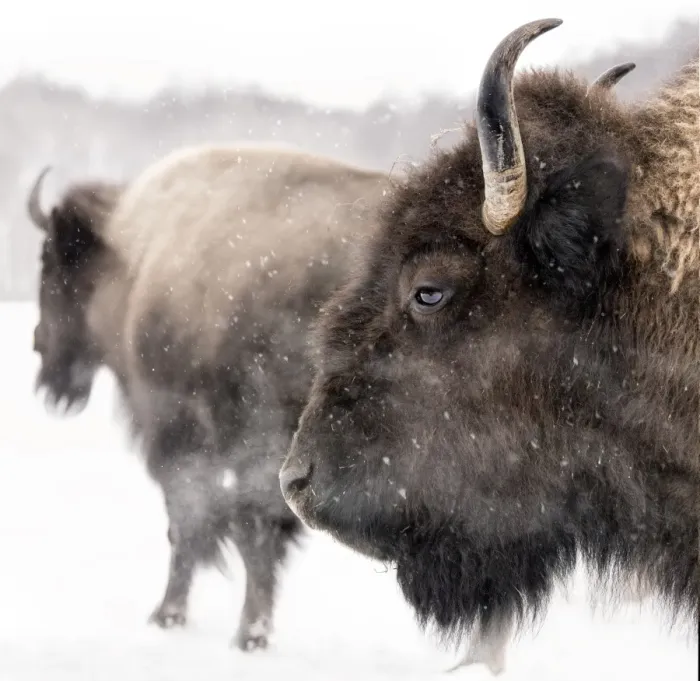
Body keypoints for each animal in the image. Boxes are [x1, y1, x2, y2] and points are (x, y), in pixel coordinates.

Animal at [28, 144, 393, 650]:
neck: (132, 259)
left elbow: (197, 522)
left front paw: (177, 616)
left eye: (51, 263)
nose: (39, 349)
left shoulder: (182, 432)